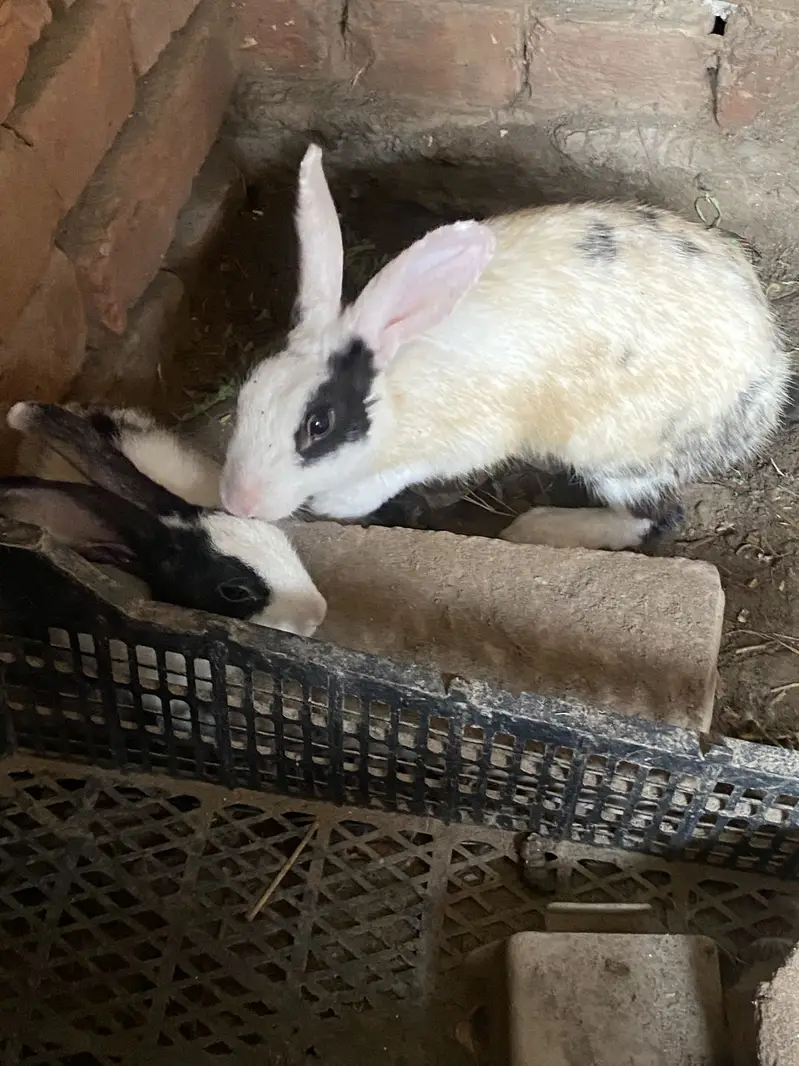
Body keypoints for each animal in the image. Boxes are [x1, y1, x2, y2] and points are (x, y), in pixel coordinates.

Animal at [219, 144, 791, 552]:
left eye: (319, 425)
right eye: (247, 393)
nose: (238, 502)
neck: (395, 393)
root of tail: (768, 380)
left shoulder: (464, 443)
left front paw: (342, 502)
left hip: (616, 453)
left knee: (658, 517)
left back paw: (536, 528)